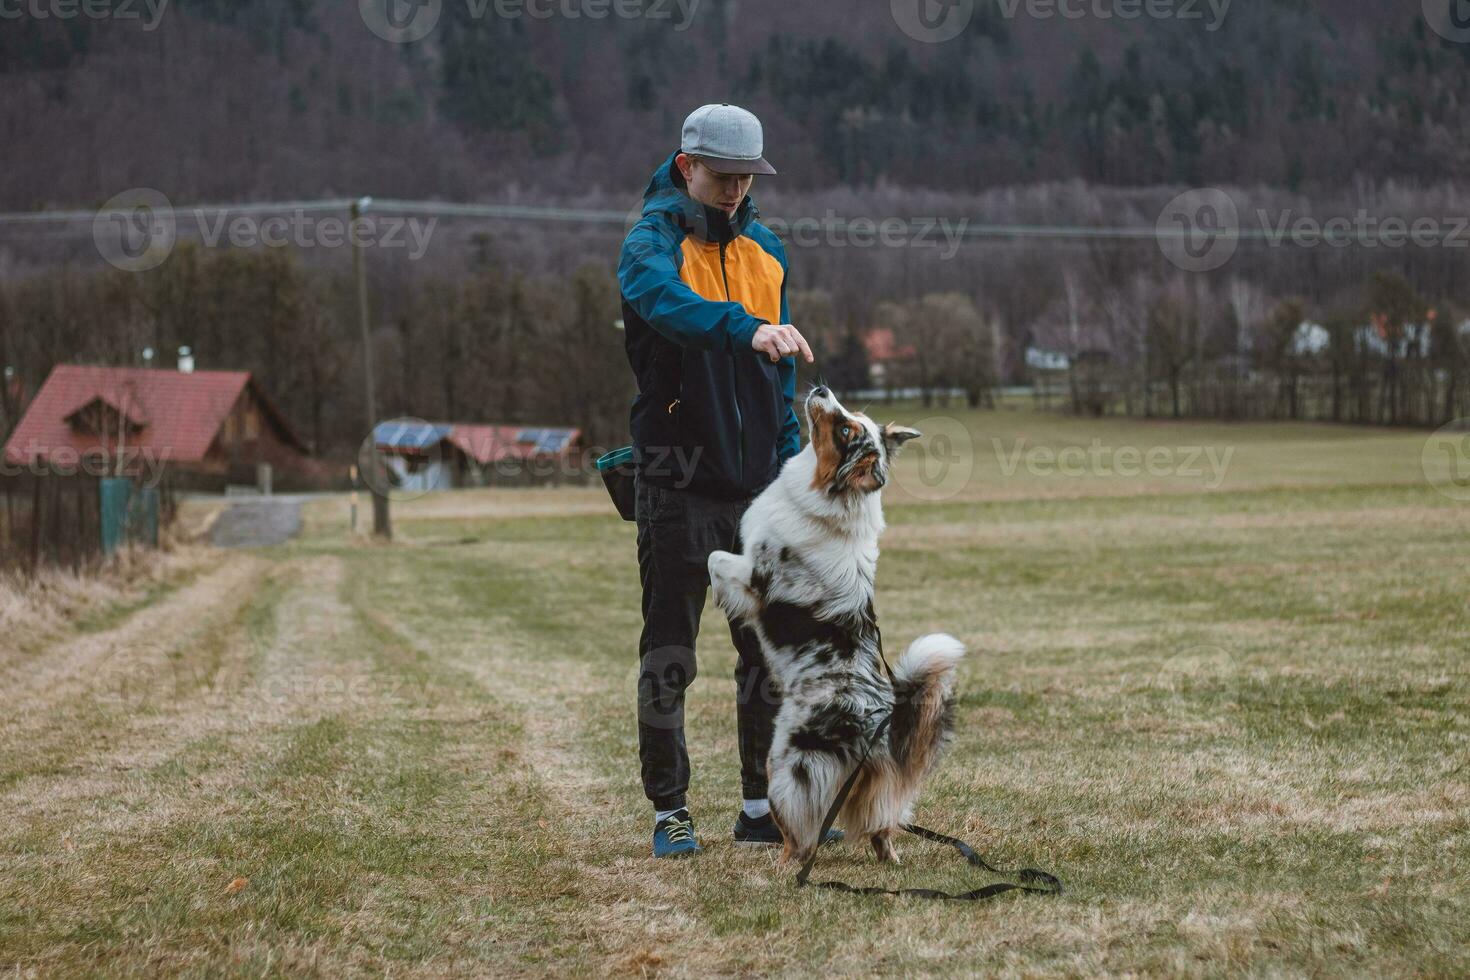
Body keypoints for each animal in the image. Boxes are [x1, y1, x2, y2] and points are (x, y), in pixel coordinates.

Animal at [708, 387, 970, 863]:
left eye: (845, 429)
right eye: (853, 416)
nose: (821, 391)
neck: (832, 499)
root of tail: (880, 722)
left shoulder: (756, 577)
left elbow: (714, 558)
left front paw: (716, 594)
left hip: (786, 768)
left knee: (799, 838)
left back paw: (780, 867)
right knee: (881, 829)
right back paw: (888, 860)